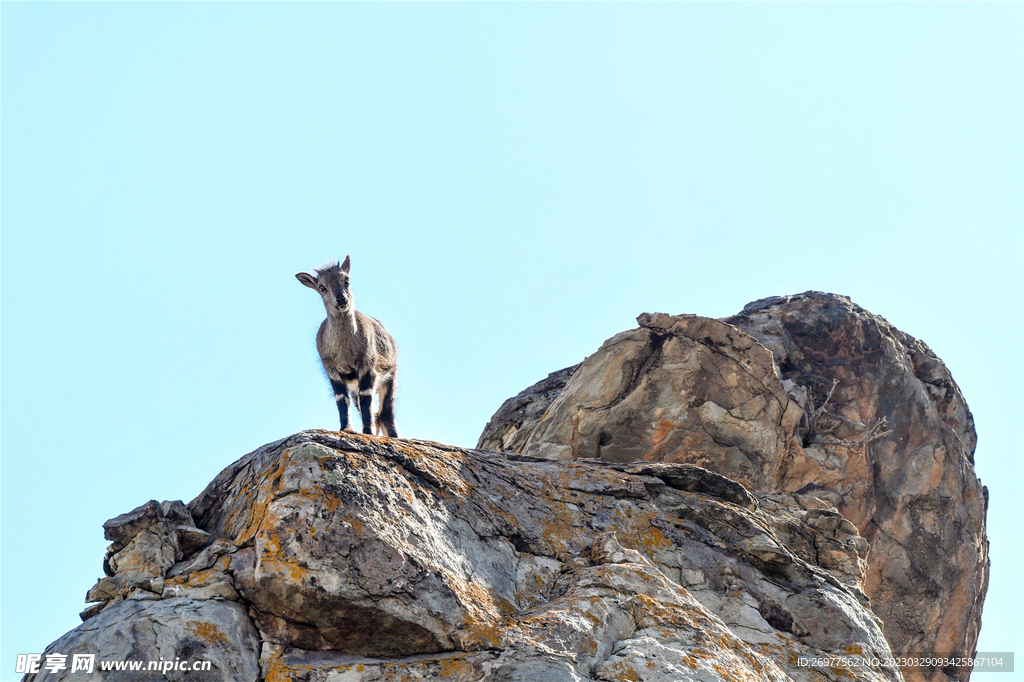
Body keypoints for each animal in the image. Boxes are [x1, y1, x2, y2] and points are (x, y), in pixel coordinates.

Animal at [296, 254, 399, 436]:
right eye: (322, 287)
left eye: (346, 280)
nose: (341, 300)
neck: (344, 352)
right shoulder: (331, 370)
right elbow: (341, 400)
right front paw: (345, 428)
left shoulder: (367, 364)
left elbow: (366, 398)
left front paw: (367, 432)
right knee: (376, 415)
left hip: (390, 377)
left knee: (386, 413)